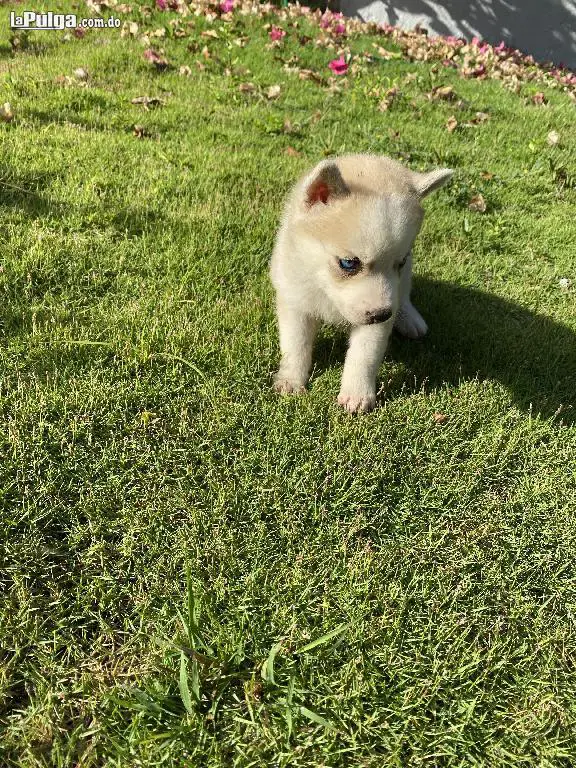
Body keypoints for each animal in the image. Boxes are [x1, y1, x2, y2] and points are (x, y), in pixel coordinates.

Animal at [272, 152, 454, 412]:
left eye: (399, 262)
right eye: (349, 263)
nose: (383, 314)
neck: (326, 290)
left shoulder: (382, 305)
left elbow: (365, 354)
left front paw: (357, 394)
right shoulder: (295, 300)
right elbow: (295, 345)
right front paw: (291, 380)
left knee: (404, 295)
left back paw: (410, 318)